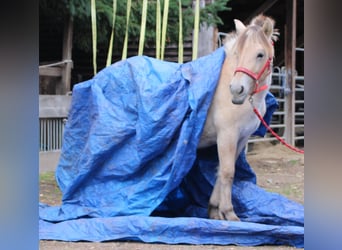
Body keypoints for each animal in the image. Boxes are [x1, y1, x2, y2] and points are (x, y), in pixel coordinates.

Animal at [198, 14, 278, 221]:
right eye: (237, 53)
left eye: (260, 54)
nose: (236, 90)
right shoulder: (226, 136)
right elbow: (228, 172)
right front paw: (229, 212)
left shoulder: (241, 138)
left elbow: (221, 171)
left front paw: (214, 209)